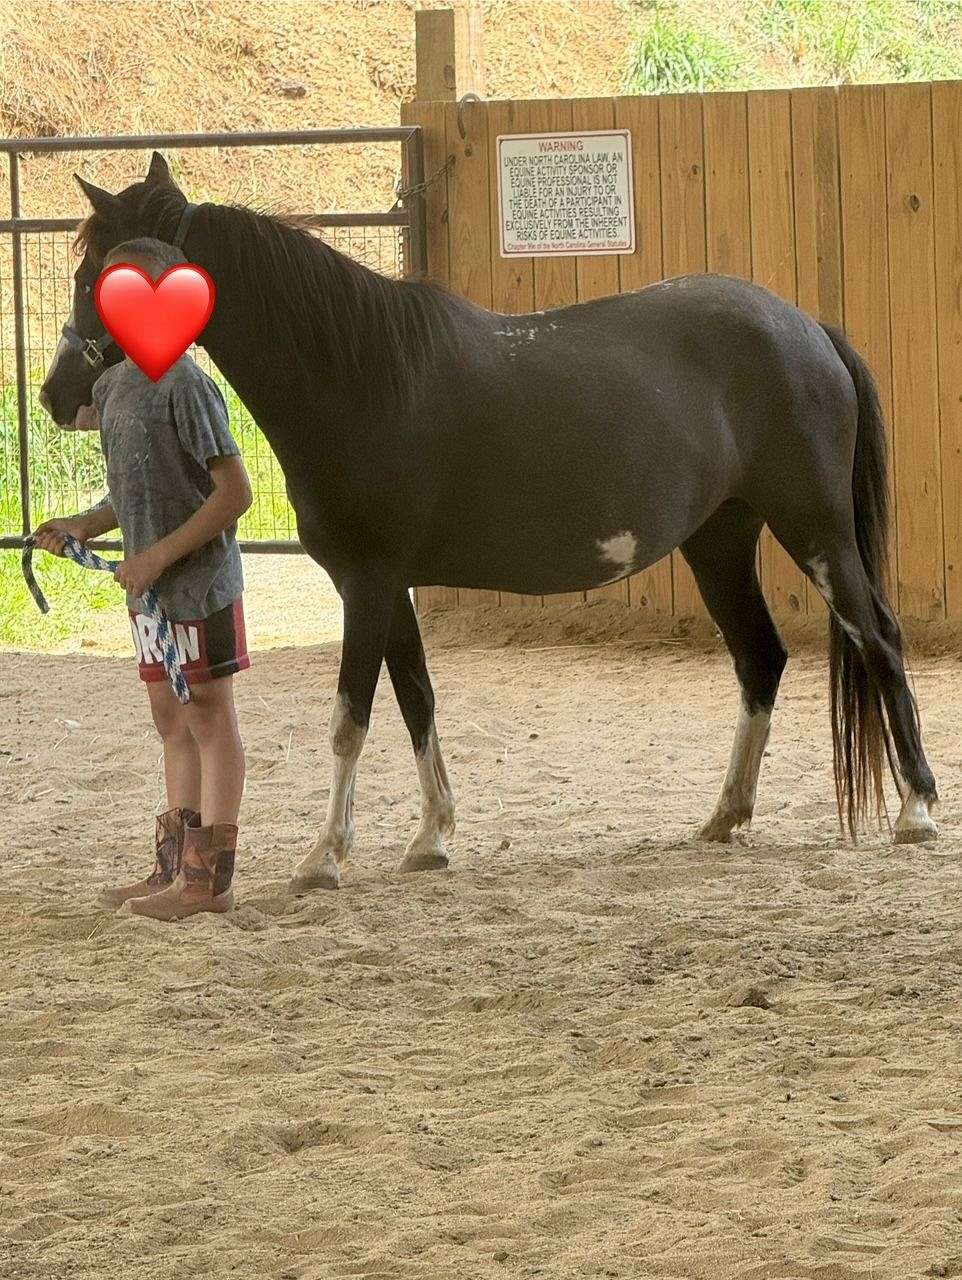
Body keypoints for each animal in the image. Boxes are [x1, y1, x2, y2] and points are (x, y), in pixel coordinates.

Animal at [39, 151, 939, 890]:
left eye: (94, 277)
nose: (52, 396)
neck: (359, 376)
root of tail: (809, 328)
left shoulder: (366, 584)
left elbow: (350, 720)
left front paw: (324, 857)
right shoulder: (386, 586)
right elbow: (416, 700)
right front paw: (431, 838)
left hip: (815, 531)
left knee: (878, 637)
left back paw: (916, 811)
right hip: (719, 539)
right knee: (760, 659)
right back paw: (725, 816)